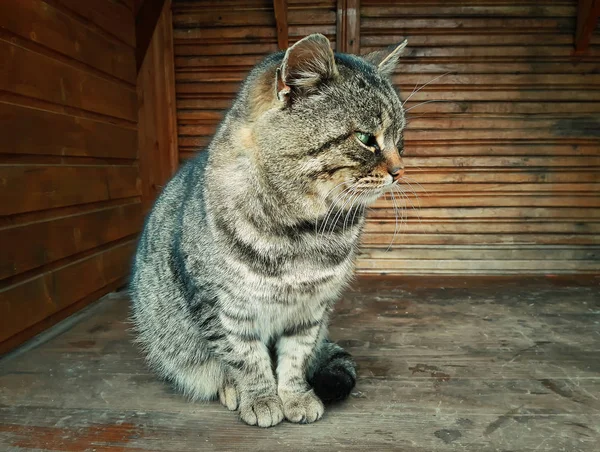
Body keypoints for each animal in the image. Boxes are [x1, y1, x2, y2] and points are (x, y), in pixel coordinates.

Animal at [131, 34, 408, 428]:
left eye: (400, 141)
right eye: (367, 138)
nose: (400, 170)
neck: (304, 231)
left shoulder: (311, 309)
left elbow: (295, 359)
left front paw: (295, 397)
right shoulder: (223, 306)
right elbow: (246, 358)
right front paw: (260, 398)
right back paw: (229, 389)